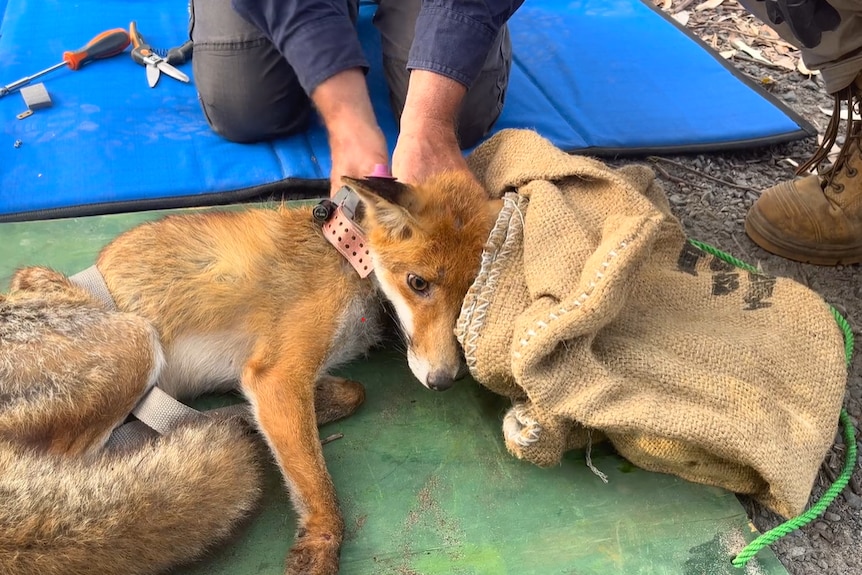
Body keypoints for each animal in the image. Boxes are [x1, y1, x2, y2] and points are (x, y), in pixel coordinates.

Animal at [0, 170, 503, 575]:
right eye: (418, 282)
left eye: (470, 294)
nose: (444, 379)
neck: (349, 252)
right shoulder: (278, 376)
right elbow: (318, 486)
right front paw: (321, 544)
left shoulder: (273, 379)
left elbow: (353, 392)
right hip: (135, 345)